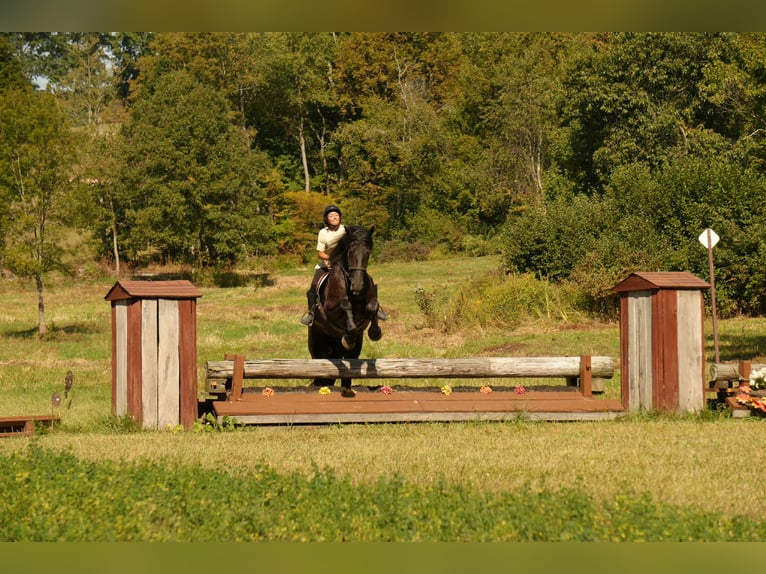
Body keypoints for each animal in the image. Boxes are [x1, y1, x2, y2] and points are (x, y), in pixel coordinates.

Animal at [307, 225, 383, 396]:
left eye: (367, 253)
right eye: (350, 253)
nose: (357, 286)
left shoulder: (369, 303)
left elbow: (373, 306)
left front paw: (375, 332)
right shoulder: (330, 307)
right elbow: (345, 304)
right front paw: (349, 335)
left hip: (349, 351)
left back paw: (347, 390)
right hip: (318, 348)